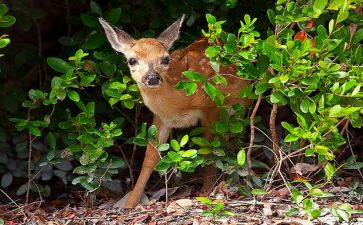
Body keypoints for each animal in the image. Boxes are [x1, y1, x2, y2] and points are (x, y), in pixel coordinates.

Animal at [99, 15, 253, 207]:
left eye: (165, 59)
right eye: (132, 60)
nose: (152, 77)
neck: (179, 104)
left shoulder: (212, 107)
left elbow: (209, 149)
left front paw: (206, 190)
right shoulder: (161, 117)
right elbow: (150, 156)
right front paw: (130, 203)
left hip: (242, 103)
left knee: (236, 135)